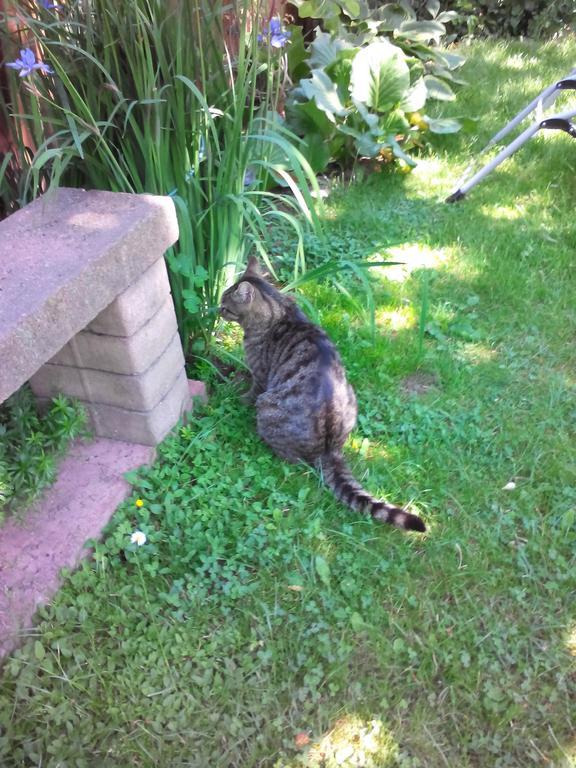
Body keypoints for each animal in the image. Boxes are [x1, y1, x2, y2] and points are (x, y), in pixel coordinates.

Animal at [218, 258, 426, 536]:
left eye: (225, 306)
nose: (216, 309)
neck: (279, 311)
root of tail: (329, 449)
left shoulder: (260, 377)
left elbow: (249, 392)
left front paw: (234, 397)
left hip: (267, 407)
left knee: (291, 459)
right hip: (351, 397)